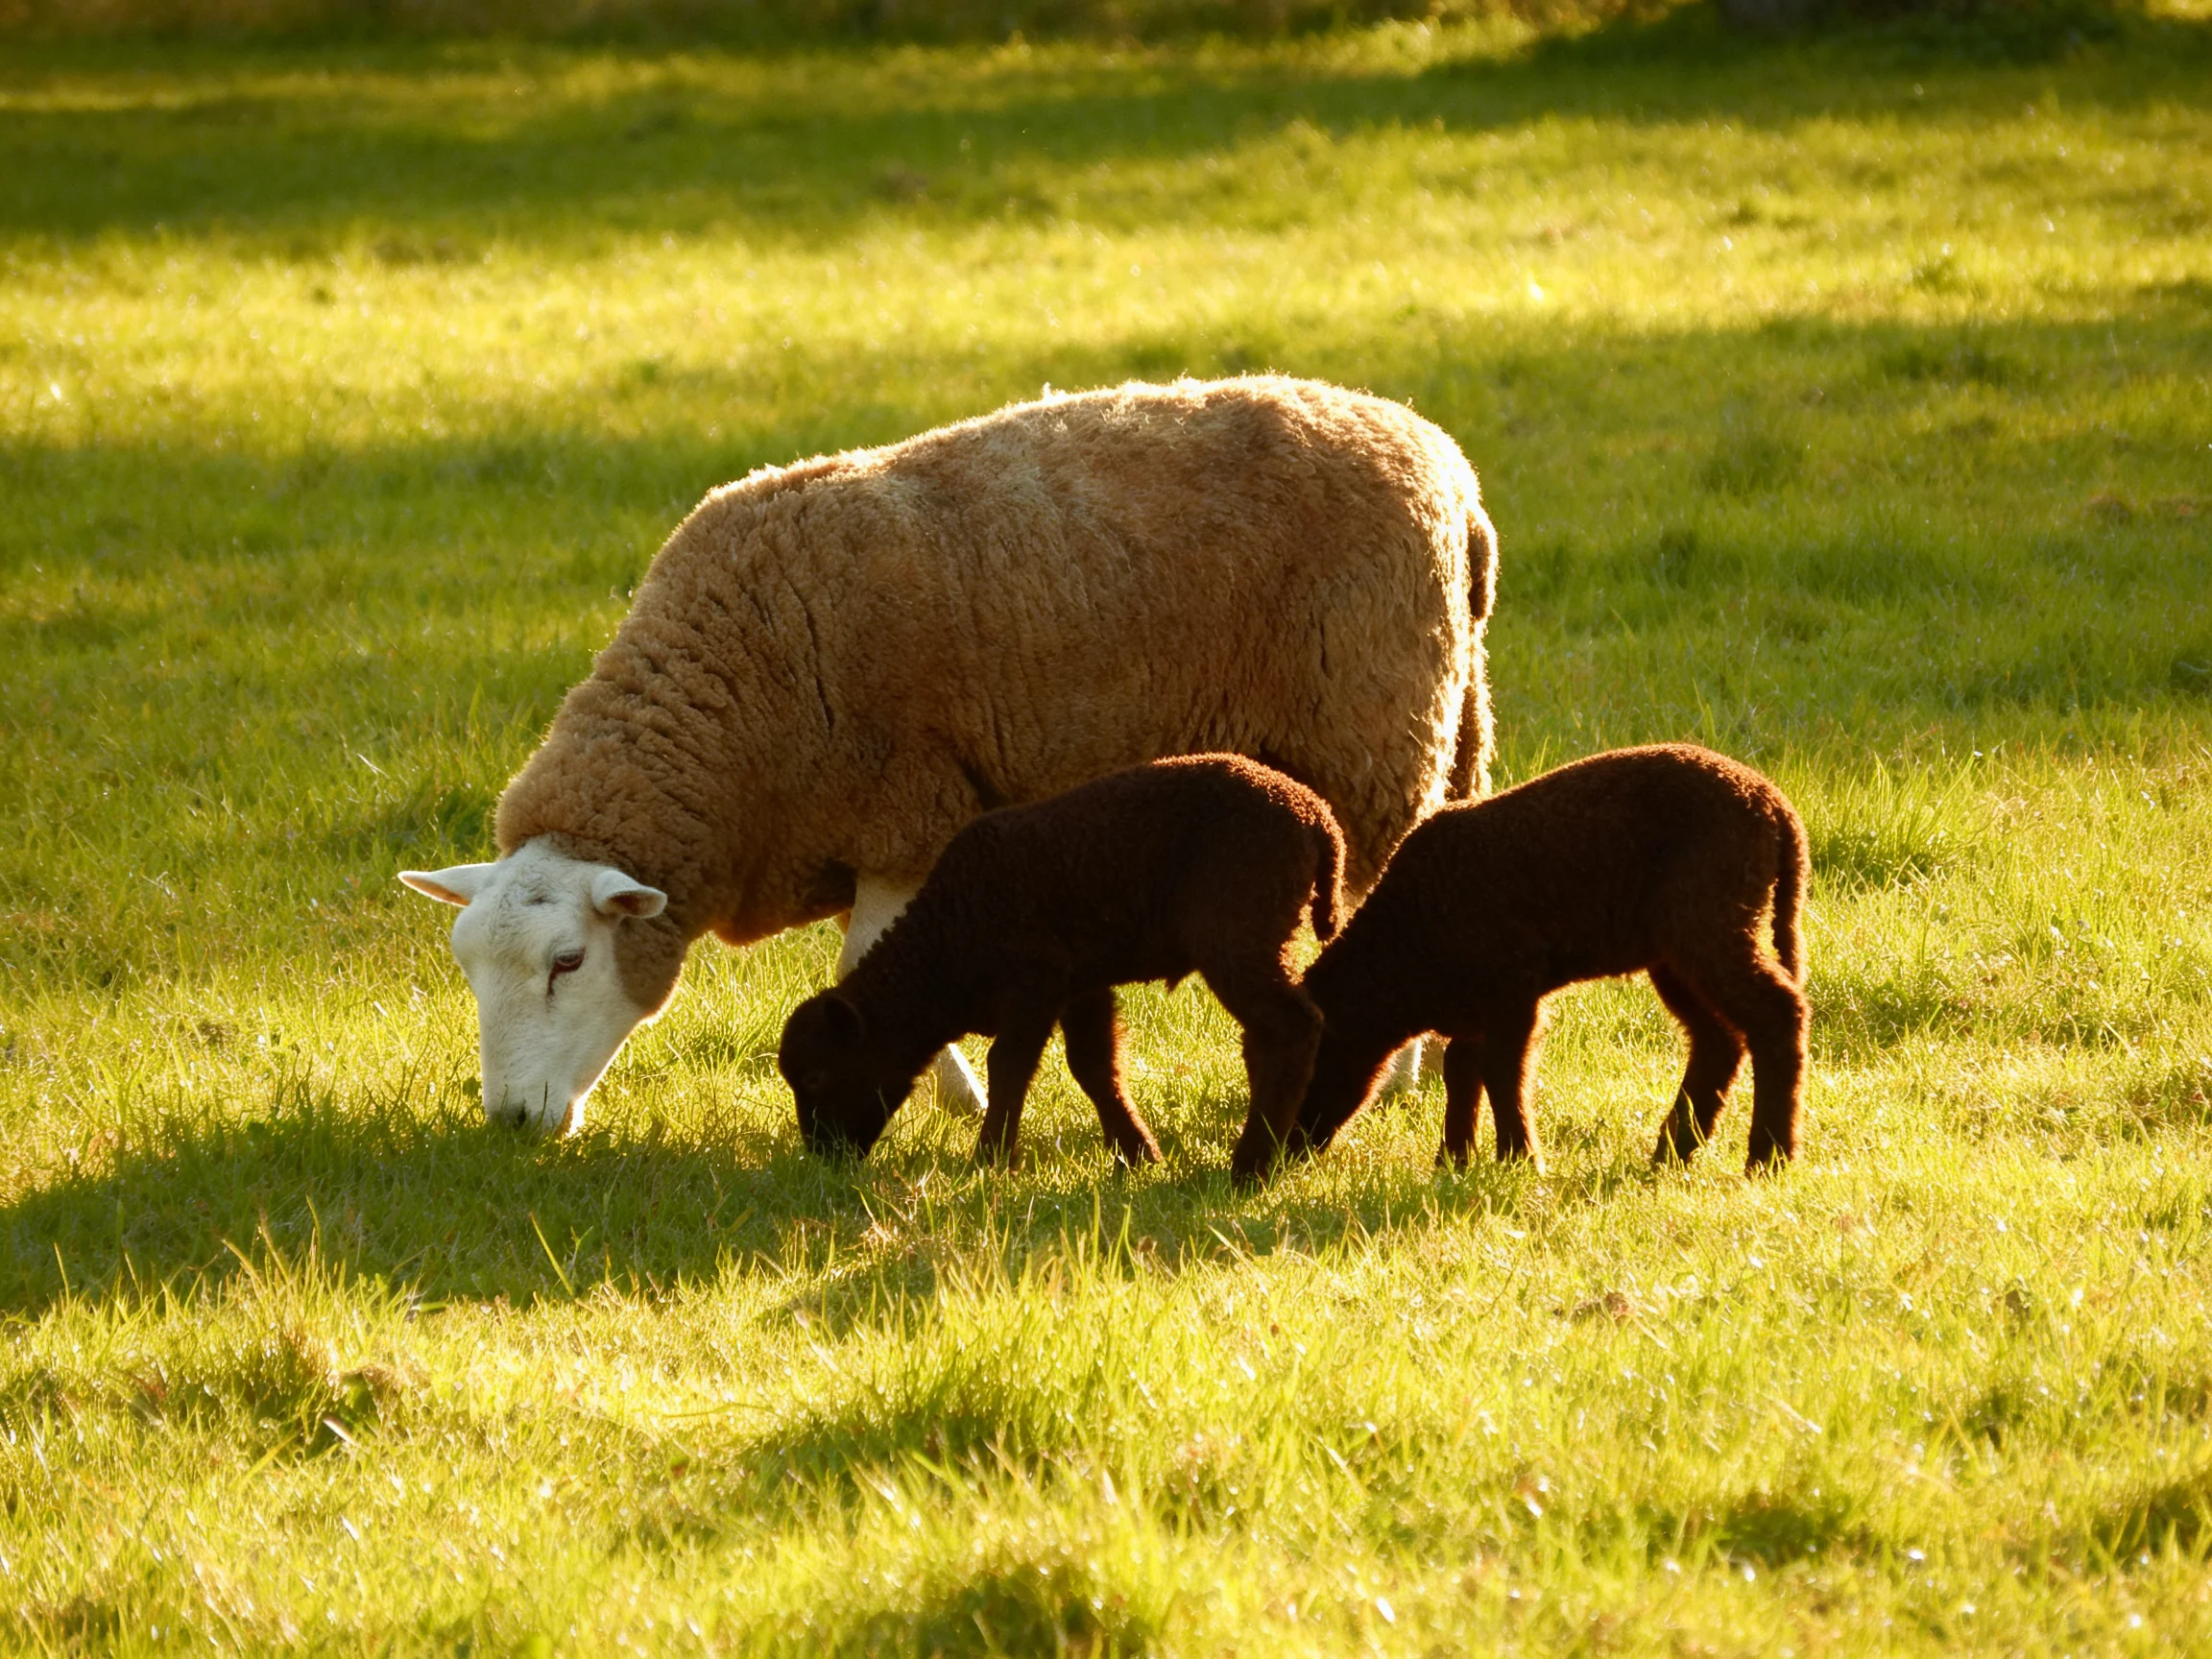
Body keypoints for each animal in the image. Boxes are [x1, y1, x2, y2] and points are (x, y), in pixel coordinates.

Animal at [399, 376, 1497, 1135]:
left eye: (568, 962)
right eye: (468, 969)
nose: (512, 1122)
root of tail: (1441, 458)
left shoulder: (907, 813)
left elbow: (865, 958)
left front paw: (951, 1096)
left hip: (1377, 728)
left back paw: (1400, 1076)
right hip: (1445, 718)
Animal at [778, 754, 1345, 1183]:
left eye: (817, 1076)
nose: (824, 1156)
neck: (947, 943)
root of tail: (1318, 818)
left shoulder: (1034, 984)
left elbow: (1008, 1065)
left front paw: (990, 1160)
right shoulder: (1081, 988)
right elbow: (1093, 1065)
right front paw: (1137, 1155)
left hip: (1238, 936)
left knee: (1292, 1027)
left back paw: (1250, 1166)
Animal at [1288, 744, 1809, 1177]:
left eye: (1307, 1067)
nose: (1284, 1153)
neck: (1405, 942)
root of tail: (1778, 811)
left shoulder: (1513, 988)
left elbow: (1500, 1069)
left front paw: (1518, 1160)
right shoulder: (1479, 1003)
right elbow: (1462, 1068)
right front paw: (1454, 1161)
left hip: (1709, 919)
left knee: (1777, 1014)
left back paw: (1768, 1158)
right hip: (1677, 950)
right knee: (1719, 1039)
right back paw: (1673, 1153)